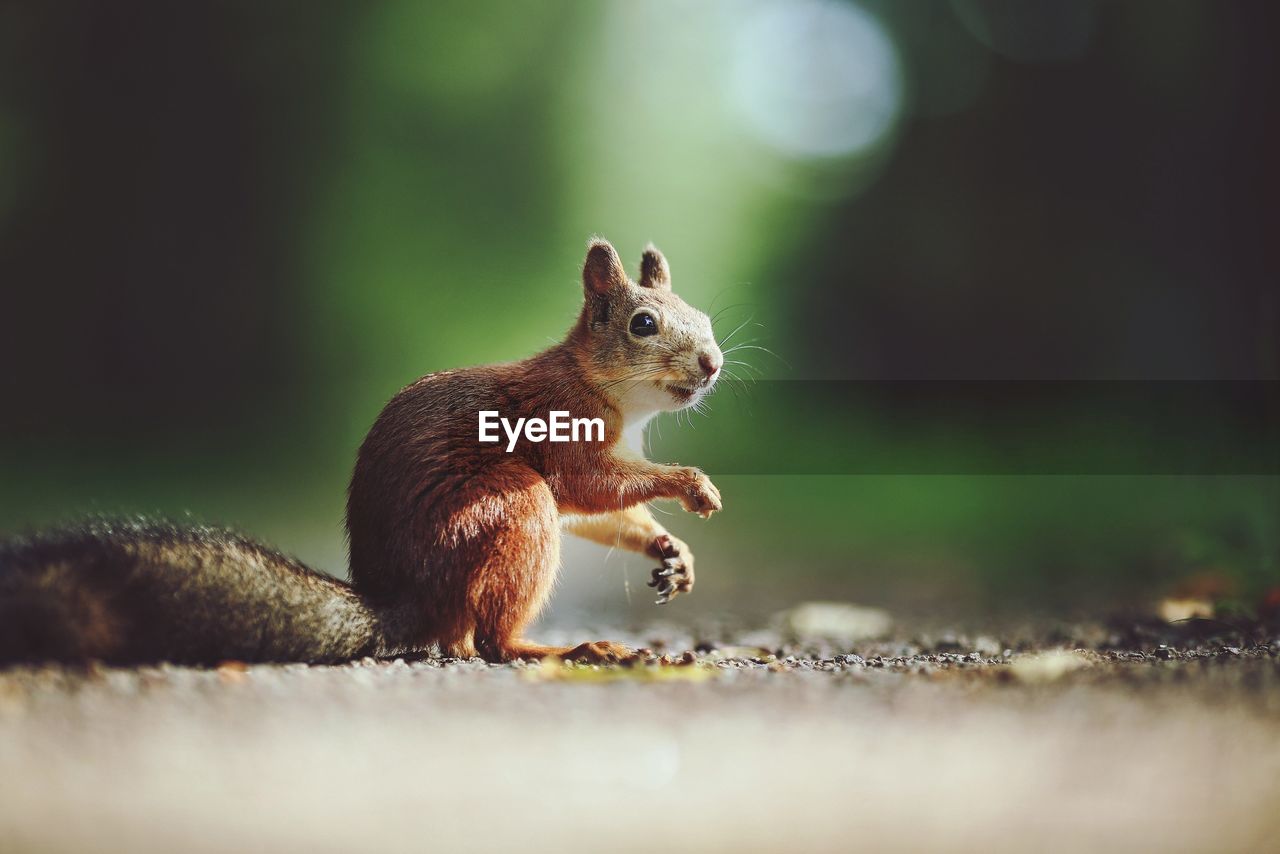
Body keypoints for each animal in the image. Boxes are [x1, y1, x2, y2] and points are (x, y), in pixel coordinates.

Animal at [0, 239, 721, 665]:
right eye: (644, 324)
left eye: (706, 318)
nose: (714, 364)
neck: (612, 395)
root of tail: (405, 601)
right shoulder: (561, 425)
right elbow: (593, 486)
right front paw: (691, 484)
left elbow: (607, 513)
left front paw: (672, 552)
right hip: (509, 513)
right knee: (487, 641)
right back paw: (563, 650)